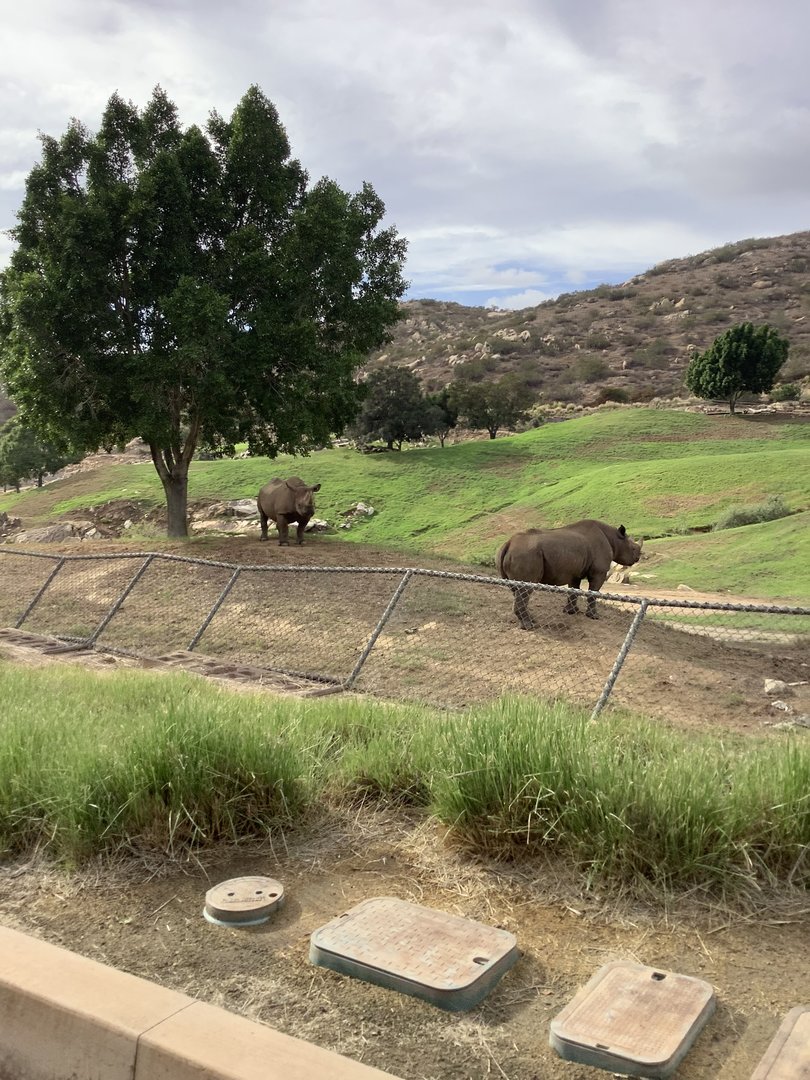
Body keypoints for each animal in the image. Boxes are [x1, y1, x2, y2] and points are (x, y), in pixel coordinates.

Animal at [497, 519, 642, 627]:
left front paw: (571, 612)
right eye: (633, 548)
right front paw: (594, 616)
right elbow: (594, 592)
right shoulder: (599, 572)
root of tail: (508, 544)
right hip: (525, 554)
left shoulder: (575, 571)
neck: (615, 539)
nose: (639, 557)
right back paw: (530, 626)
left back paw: (531, 621)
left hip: (518, 554)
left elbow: (574, 590)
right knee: (525, 590)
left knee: (516, 590)